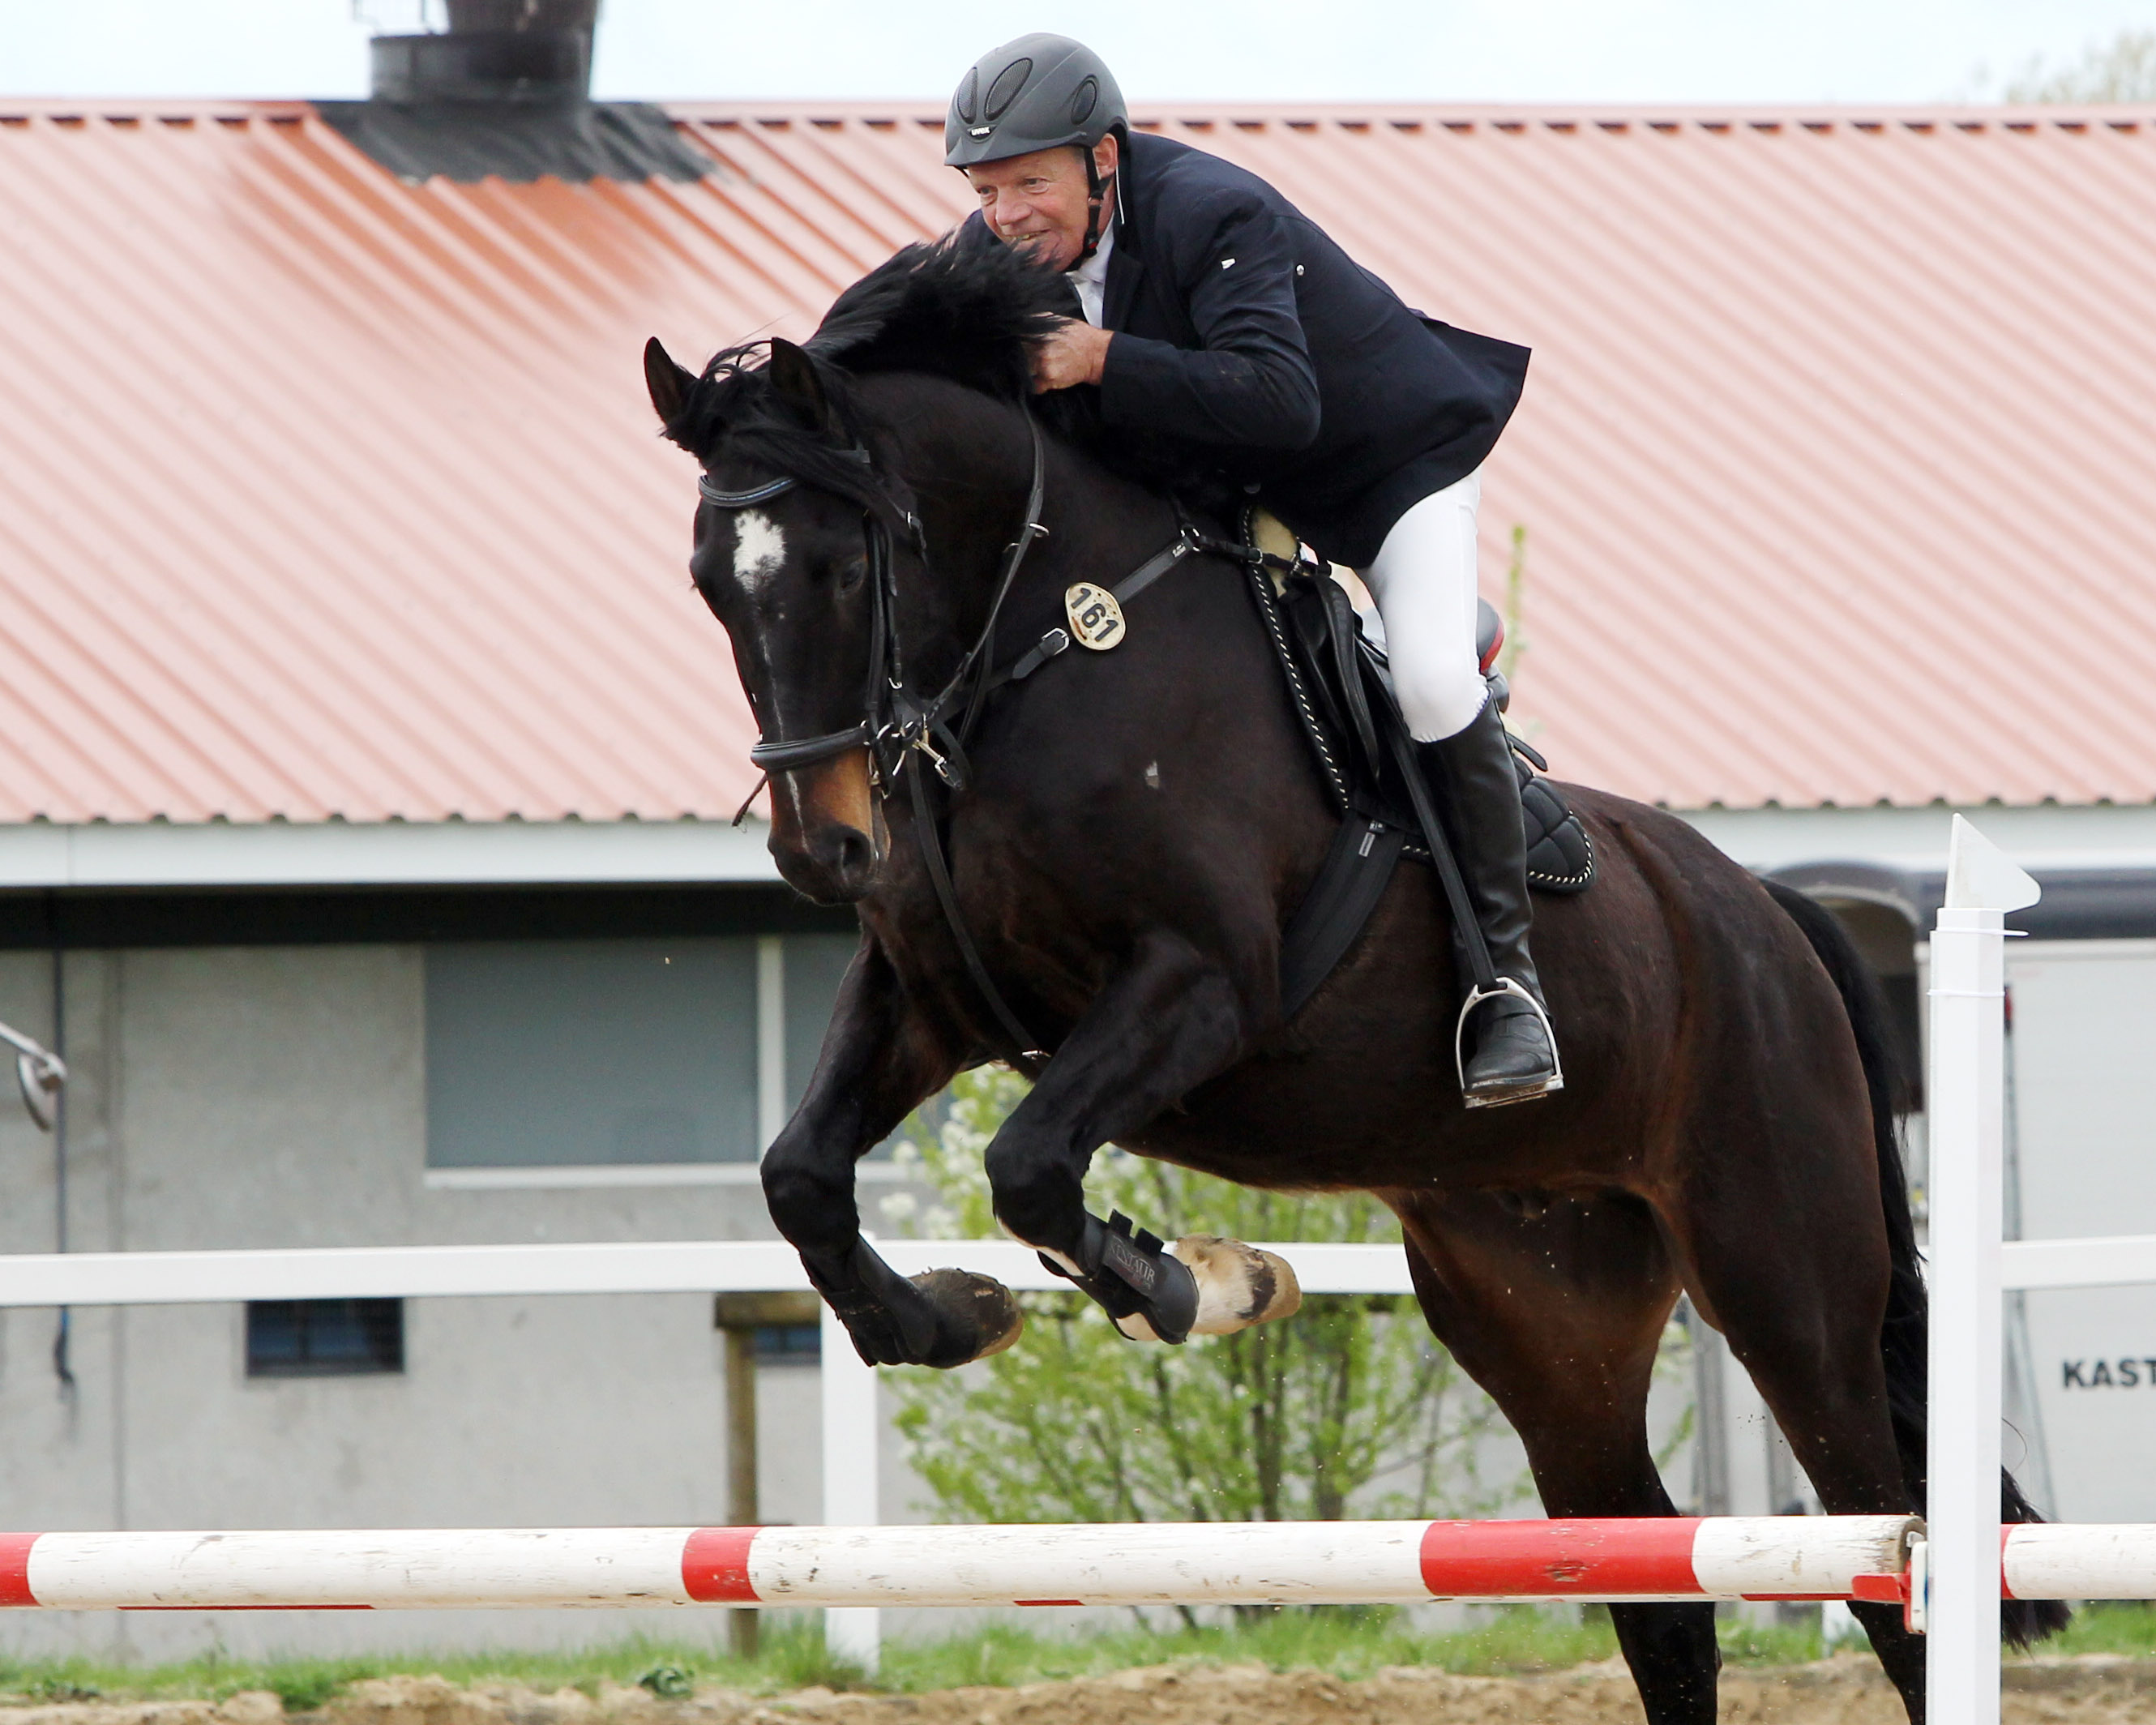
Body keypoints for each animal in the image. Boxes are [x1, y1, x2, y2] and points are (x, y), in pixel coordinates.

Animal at [638, 242, 2052, 1725]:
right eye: (711, 582)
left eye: (842, 566)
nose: (822, 850)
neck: (1039, 653)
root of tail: (1769, 909)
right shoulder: (933, 998)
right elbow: (803, 1173)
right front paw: (953, 1314)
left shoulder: (1202, 985)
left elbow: (1027, 1166)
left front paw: (1208, 1283)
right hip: (1547, 1310)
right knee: (1653, 1583)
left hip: (1784, 1274)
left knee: (1883, 1552)